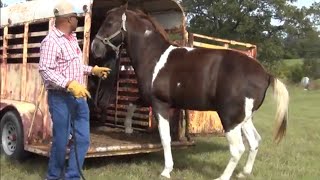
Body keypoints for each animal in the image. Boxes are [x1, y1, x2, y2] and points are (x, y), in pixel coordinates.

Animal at [90, 5, 290, 180]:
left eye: (109, 23)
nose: (94, 47)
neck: (154, 56)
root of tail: (265, 74)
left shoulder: (160, 104)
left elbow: (165, 138)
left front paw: (166, 170)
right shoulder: (149, 98)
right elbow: (131, 105)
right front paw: (128, 128)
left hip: (230, 118)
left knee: (238, 148)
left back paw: (223, 177)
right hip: (244, 118)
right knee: (254, 142)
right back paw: (244, 173)